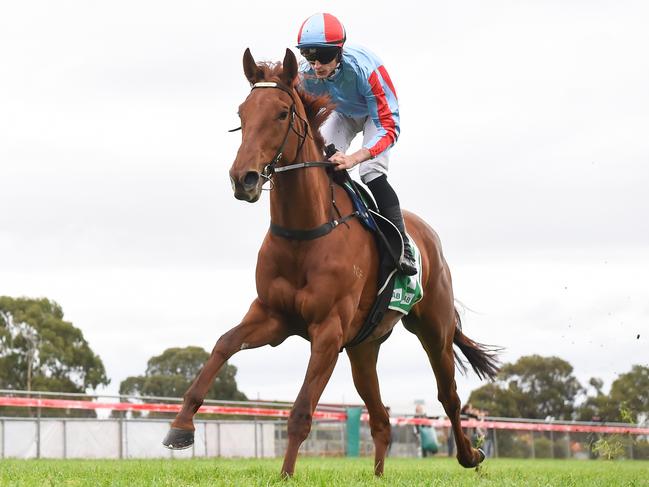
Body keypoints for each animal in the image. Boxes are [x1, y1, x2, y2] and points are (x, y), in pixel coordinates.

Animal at [162, 48, 496, 476]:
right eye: (241, 113)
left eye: (282, 113)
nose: (243, 178)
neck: (304, 232)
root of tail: (429, 236)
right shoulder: (272, 316)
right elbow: (222, 345)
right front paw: (180, 426)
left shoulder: (328, 331)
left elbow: (302, 410)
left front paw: (285, 476)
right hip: (363, 348)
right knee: (382, 418)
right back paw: (378, 477)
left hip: (433, 328)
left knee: (449, 396)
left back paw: (472, 455)